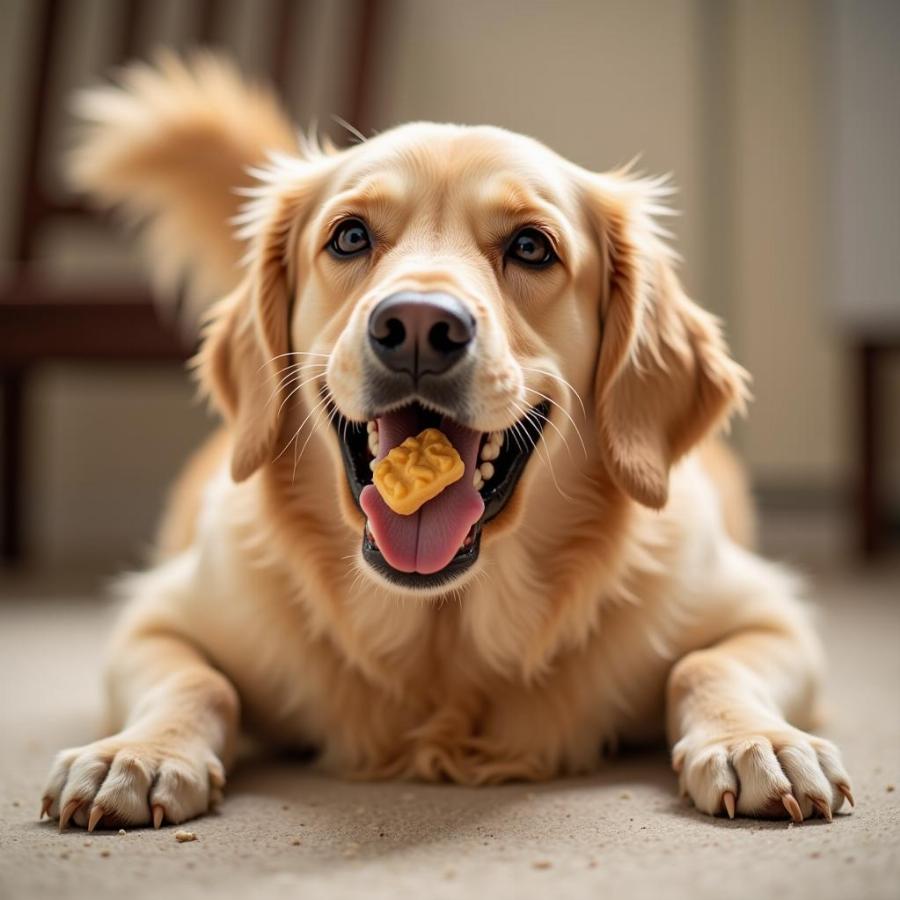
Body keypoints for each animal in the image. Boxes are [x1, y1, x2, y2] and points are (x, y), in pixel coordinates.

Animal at [40, 54, 852, 828]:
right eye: (350, 236)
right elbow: (196, 676)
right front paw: (139, 754)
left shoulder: (769, 612)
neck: (444, 643)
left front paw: (756, 741)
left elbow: (706, 666)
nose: (418, 326)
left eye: (531, 246)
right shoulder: (159, 615)